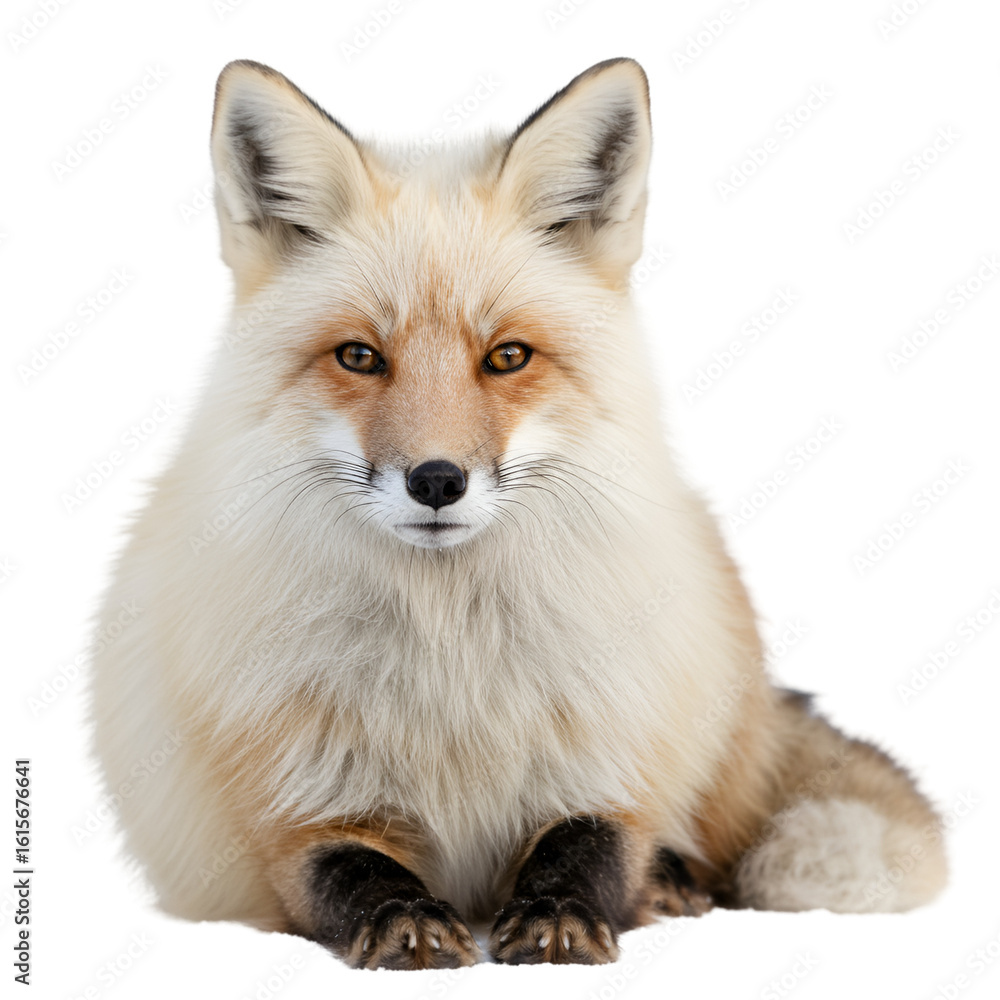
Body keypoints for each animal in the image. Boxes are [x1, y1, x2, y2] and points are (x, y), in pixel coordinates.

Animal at [89, 58, 947, 970]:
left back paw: (674, 881)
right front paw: (404, 920)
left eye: (506, 357)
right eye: (359, 356)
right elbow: (347, 872)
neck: (450, 658)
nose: (436, 480)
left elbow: (591, 846)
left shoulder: (610, 757)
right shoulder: (290, 810)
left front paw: (562, 913)